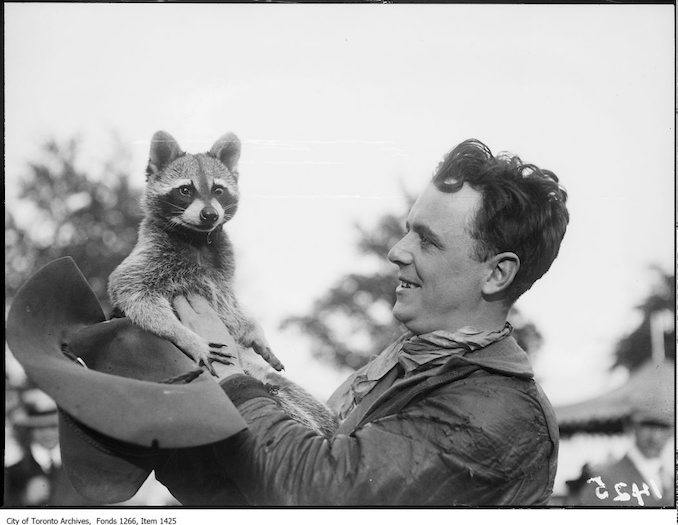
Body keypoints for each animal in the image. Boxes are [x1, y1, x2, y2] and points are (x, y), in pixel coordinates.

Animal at [108, 132, 338, 438]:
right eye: (185, 190)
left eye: (218, 190)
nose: (209, 215)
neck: (197, 239)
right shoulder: (150, 255)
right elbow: (130, 290)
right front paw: (188, 337)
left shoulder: (223, 268)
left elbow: (230, 306)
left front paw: (254, 331)